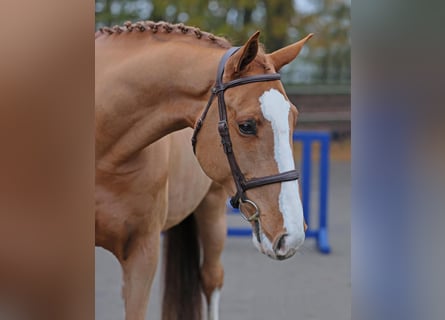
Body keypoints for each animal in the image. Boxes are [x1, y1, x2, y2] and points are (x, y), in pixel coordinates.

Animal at [95, 21, 310, 318]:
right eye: (246, 125)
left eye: (294, 117)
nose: (293, 234)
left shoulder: (143, 253)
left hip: (213, 211)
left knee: (211, 279)